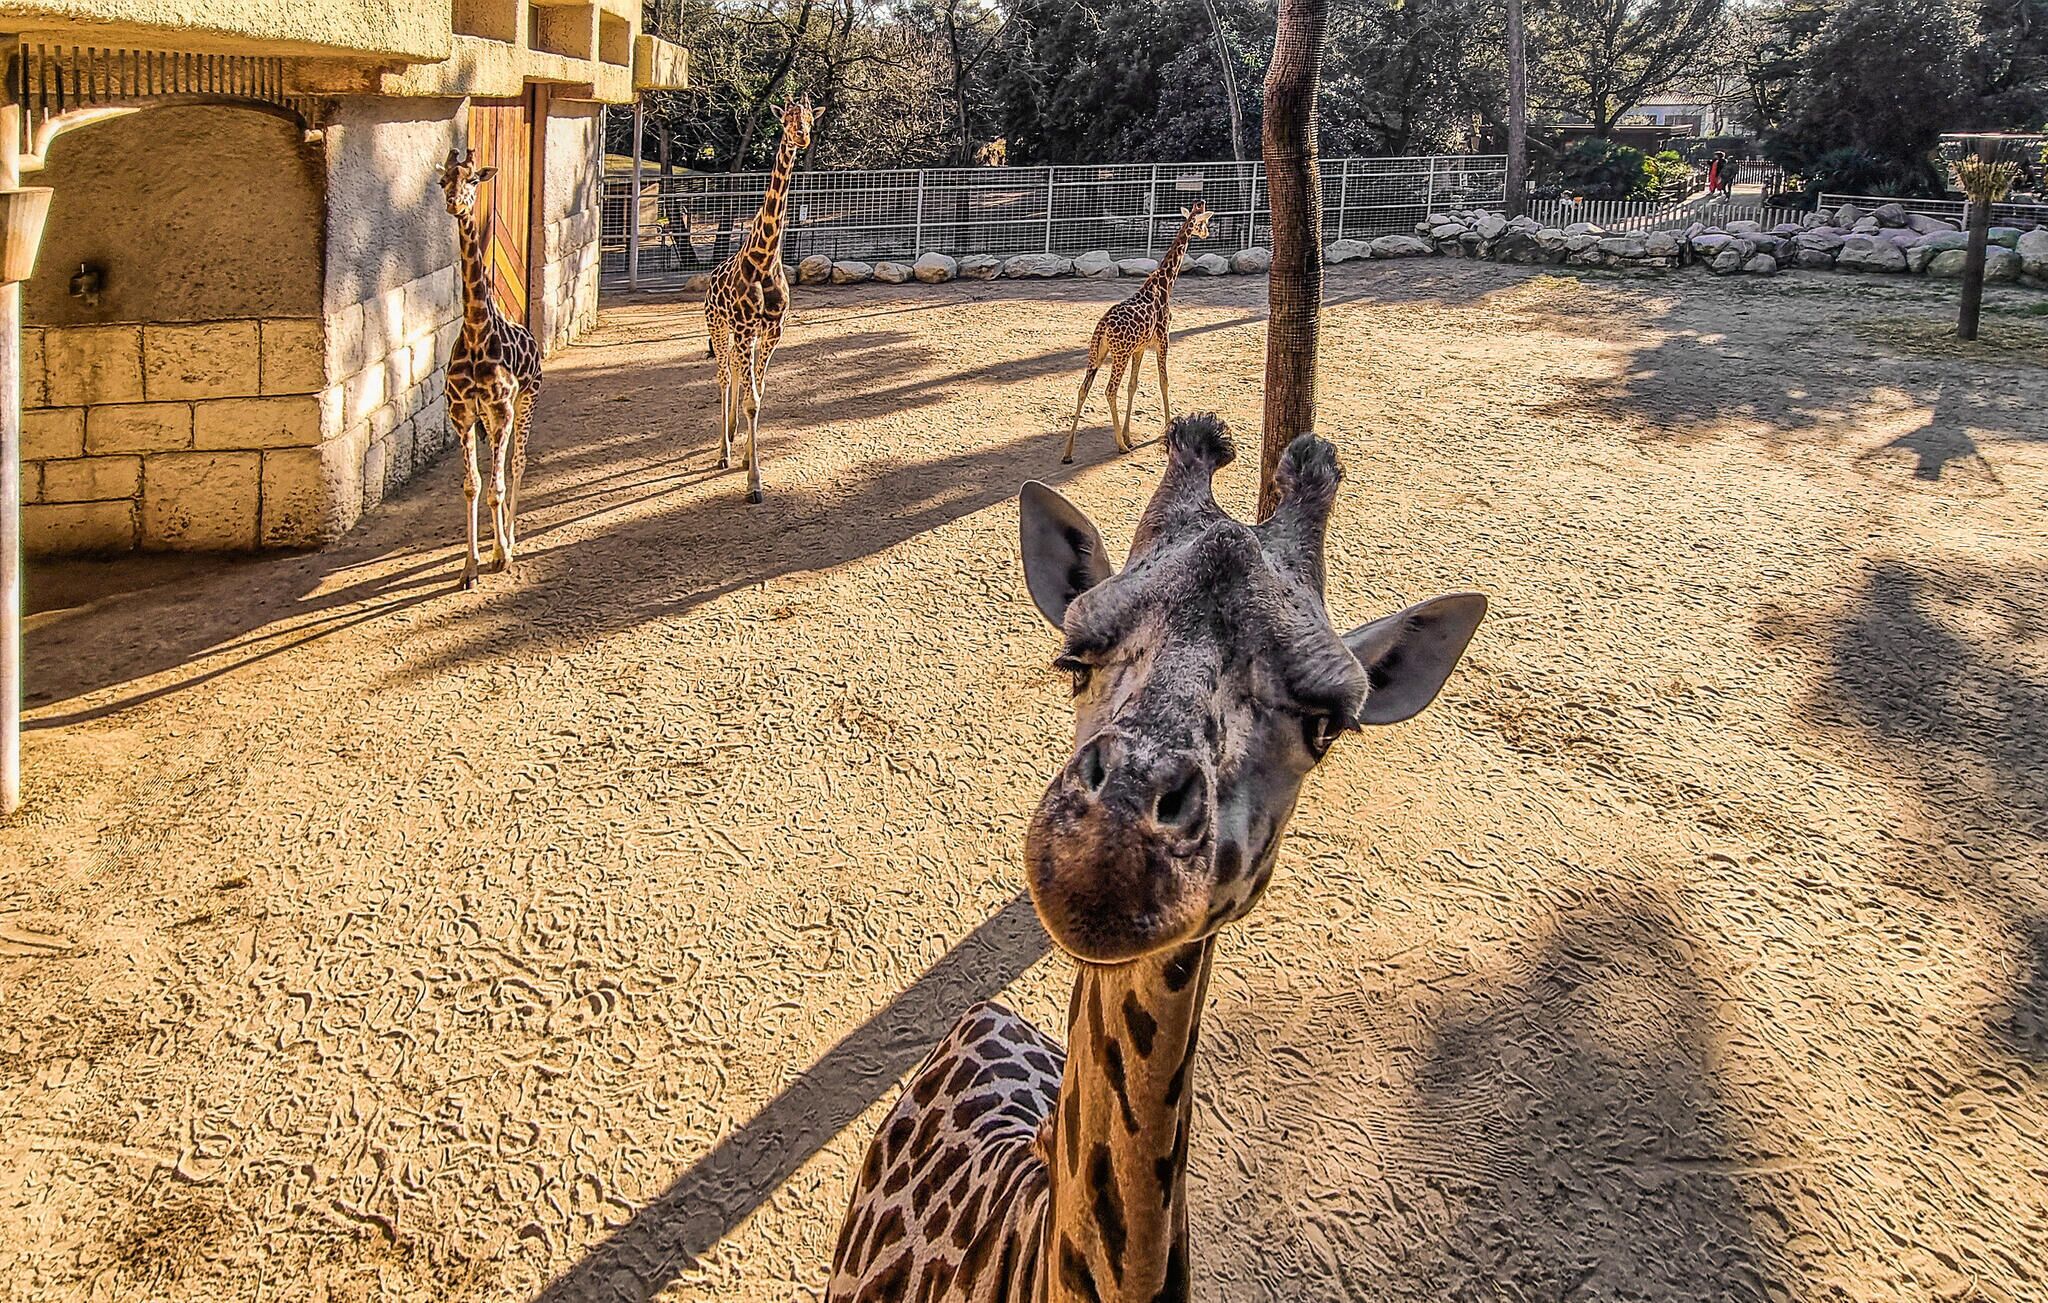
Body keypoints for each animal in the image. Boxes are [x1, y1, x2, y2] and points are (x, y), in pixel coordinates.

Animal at [705, 96, 815, 504]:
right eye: (786, 120)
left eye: (811, 118)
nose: (802, 137)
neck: (764, 258)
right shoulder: (742, 329)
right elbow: (751, 397)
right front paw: (753, 482)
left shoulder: (771, 332)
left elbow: (759, 394)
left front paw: (748, 464)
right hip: (719, 327)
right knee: (723, 377)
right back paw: (723, 450)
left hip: (742, 337)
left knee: (736, 373)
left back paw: (733, 439)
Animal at [1062, 201, 1214, 464]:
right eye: (1203, 223)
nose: (1207, 233)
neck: (1164, 284)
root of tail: (1102, 328)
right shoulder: (1163, 339)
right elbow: (1164, 381)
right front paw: (1167, 429)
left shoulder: (1140, 348)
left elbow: (1133, 385)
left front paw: (1129, 435)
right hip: (1119, 355)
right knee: (1109, 390)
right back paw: (1120, 446)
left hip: (1097, 354)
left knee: (1083, 389)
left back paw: (1068, 453)